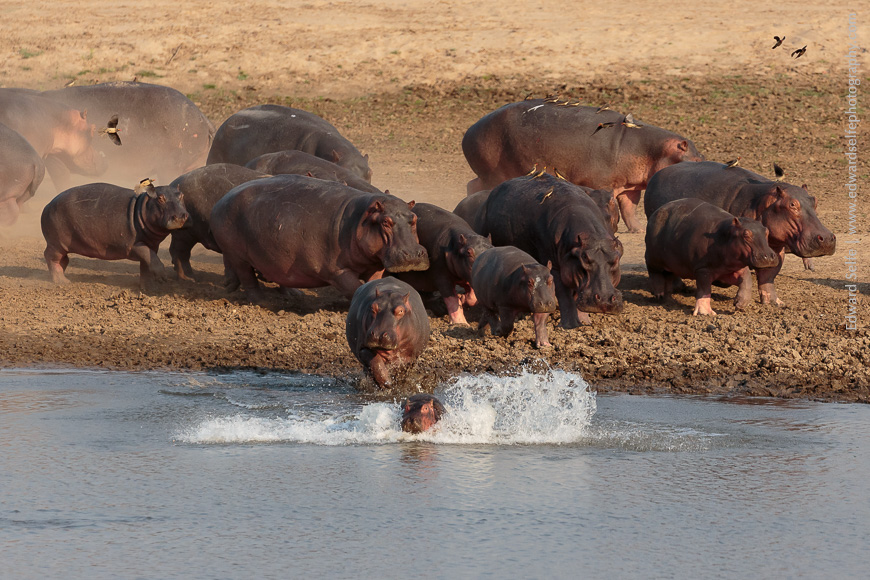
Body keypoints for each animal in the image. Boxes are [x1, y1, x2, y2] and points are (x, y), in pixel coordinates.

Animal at [41, 180, 189, 286]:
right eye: (160, 198)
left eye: (181, 195)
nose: (181, 216)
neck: (142, 206)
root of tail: (47, 204)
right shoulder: (133, 245)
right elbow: (149, 256)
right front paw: (162, 277)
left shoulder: (152, 245)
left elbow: (147, 263)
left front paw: (148, 285)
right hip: (56, 243)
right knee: (51, 257)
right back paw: (62, 281)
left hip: (61, 245)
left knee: (63, 259)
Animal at [210, 175, 428, 302]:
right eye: (386, 222)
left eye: (414, 218)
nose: (412, 254)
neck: (361, 218)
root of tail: (223, 198)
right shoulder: (337, 271)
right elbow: (354, 287)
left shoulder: (375, 266)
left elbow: (372, 283)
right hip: (237, 254)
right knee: (247, 276)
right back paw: (259, 300)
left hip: (276, 255)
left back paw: (293, 293)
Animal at [462, 100, 704, 232]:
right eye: (696, 160)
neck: (652, 150)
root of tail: (469, 130)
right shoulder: (604, 184)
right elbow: (611, 204)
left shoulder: (630, 187)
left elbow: (629, 209)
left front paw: (639, 229)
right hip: (493, 173)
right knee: (478, 187)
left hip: (488, 173)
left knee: (471, 184)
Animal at [476, 173, 624, 328]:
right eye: (584, 258)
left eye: (615, 259)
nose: (605, 300)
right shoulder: (556, 266)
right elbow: (565, 296)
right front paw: (570, 326)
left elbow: (576, 295)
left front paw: (584, 322)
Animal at [645, 199, 780, 315]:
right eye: (746, 234)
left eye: (767, 231)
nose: (769, 256)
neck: (726, 235)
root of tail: (658, 210)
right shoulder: (702, 269)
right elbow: (704, 290)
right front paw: (706, 313)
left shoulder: (732, 268)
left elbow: (747, 280)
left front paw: (740, 305)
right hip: (652, 258)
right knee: (654, 273)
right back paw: (658, 293)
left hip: (672, 264)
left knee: (668, 277)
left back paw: (668, 300)